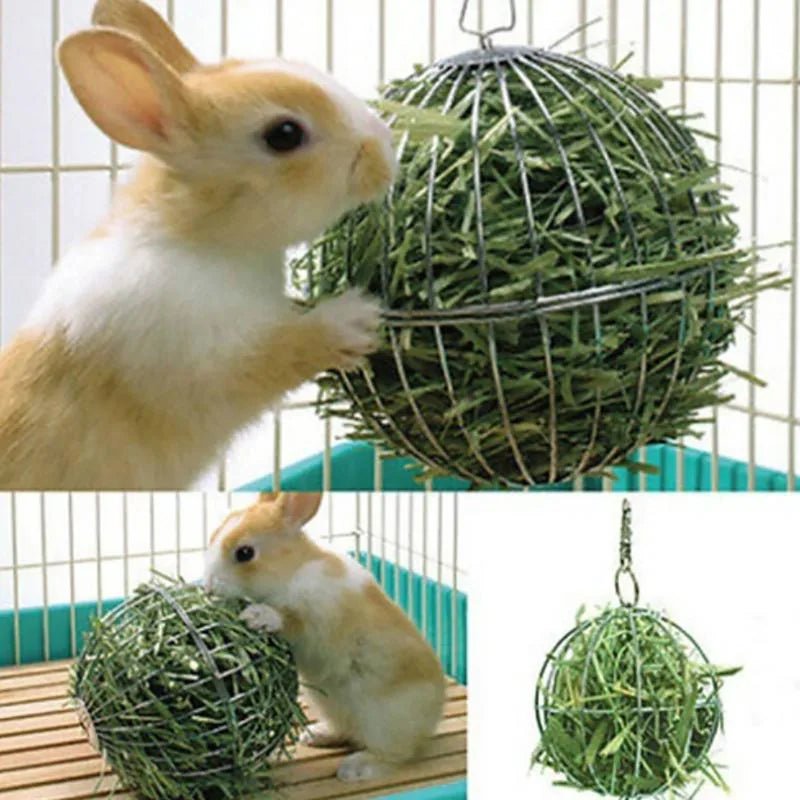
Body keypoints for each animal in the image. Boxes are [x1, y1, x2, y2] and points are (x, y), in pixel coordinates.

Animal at [0, 0, 396, 490]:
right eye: (284, 134)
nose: (386, 149)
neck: (201, 241)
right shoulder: (207, 359)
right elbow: (282, 351)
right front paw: (356, 318)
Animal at [204, 492, 447, 783]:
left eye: (245, 553)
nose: (208, 586)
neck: (292, 571)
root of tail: (433, 719)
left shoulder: (317, 618)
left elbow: (291, 621)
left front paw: (256, 616)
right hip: (331, 706)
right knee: (347, 732)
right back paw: (314, 735)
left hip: (383, 721)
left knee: (395, 755)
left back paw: (354, 768)